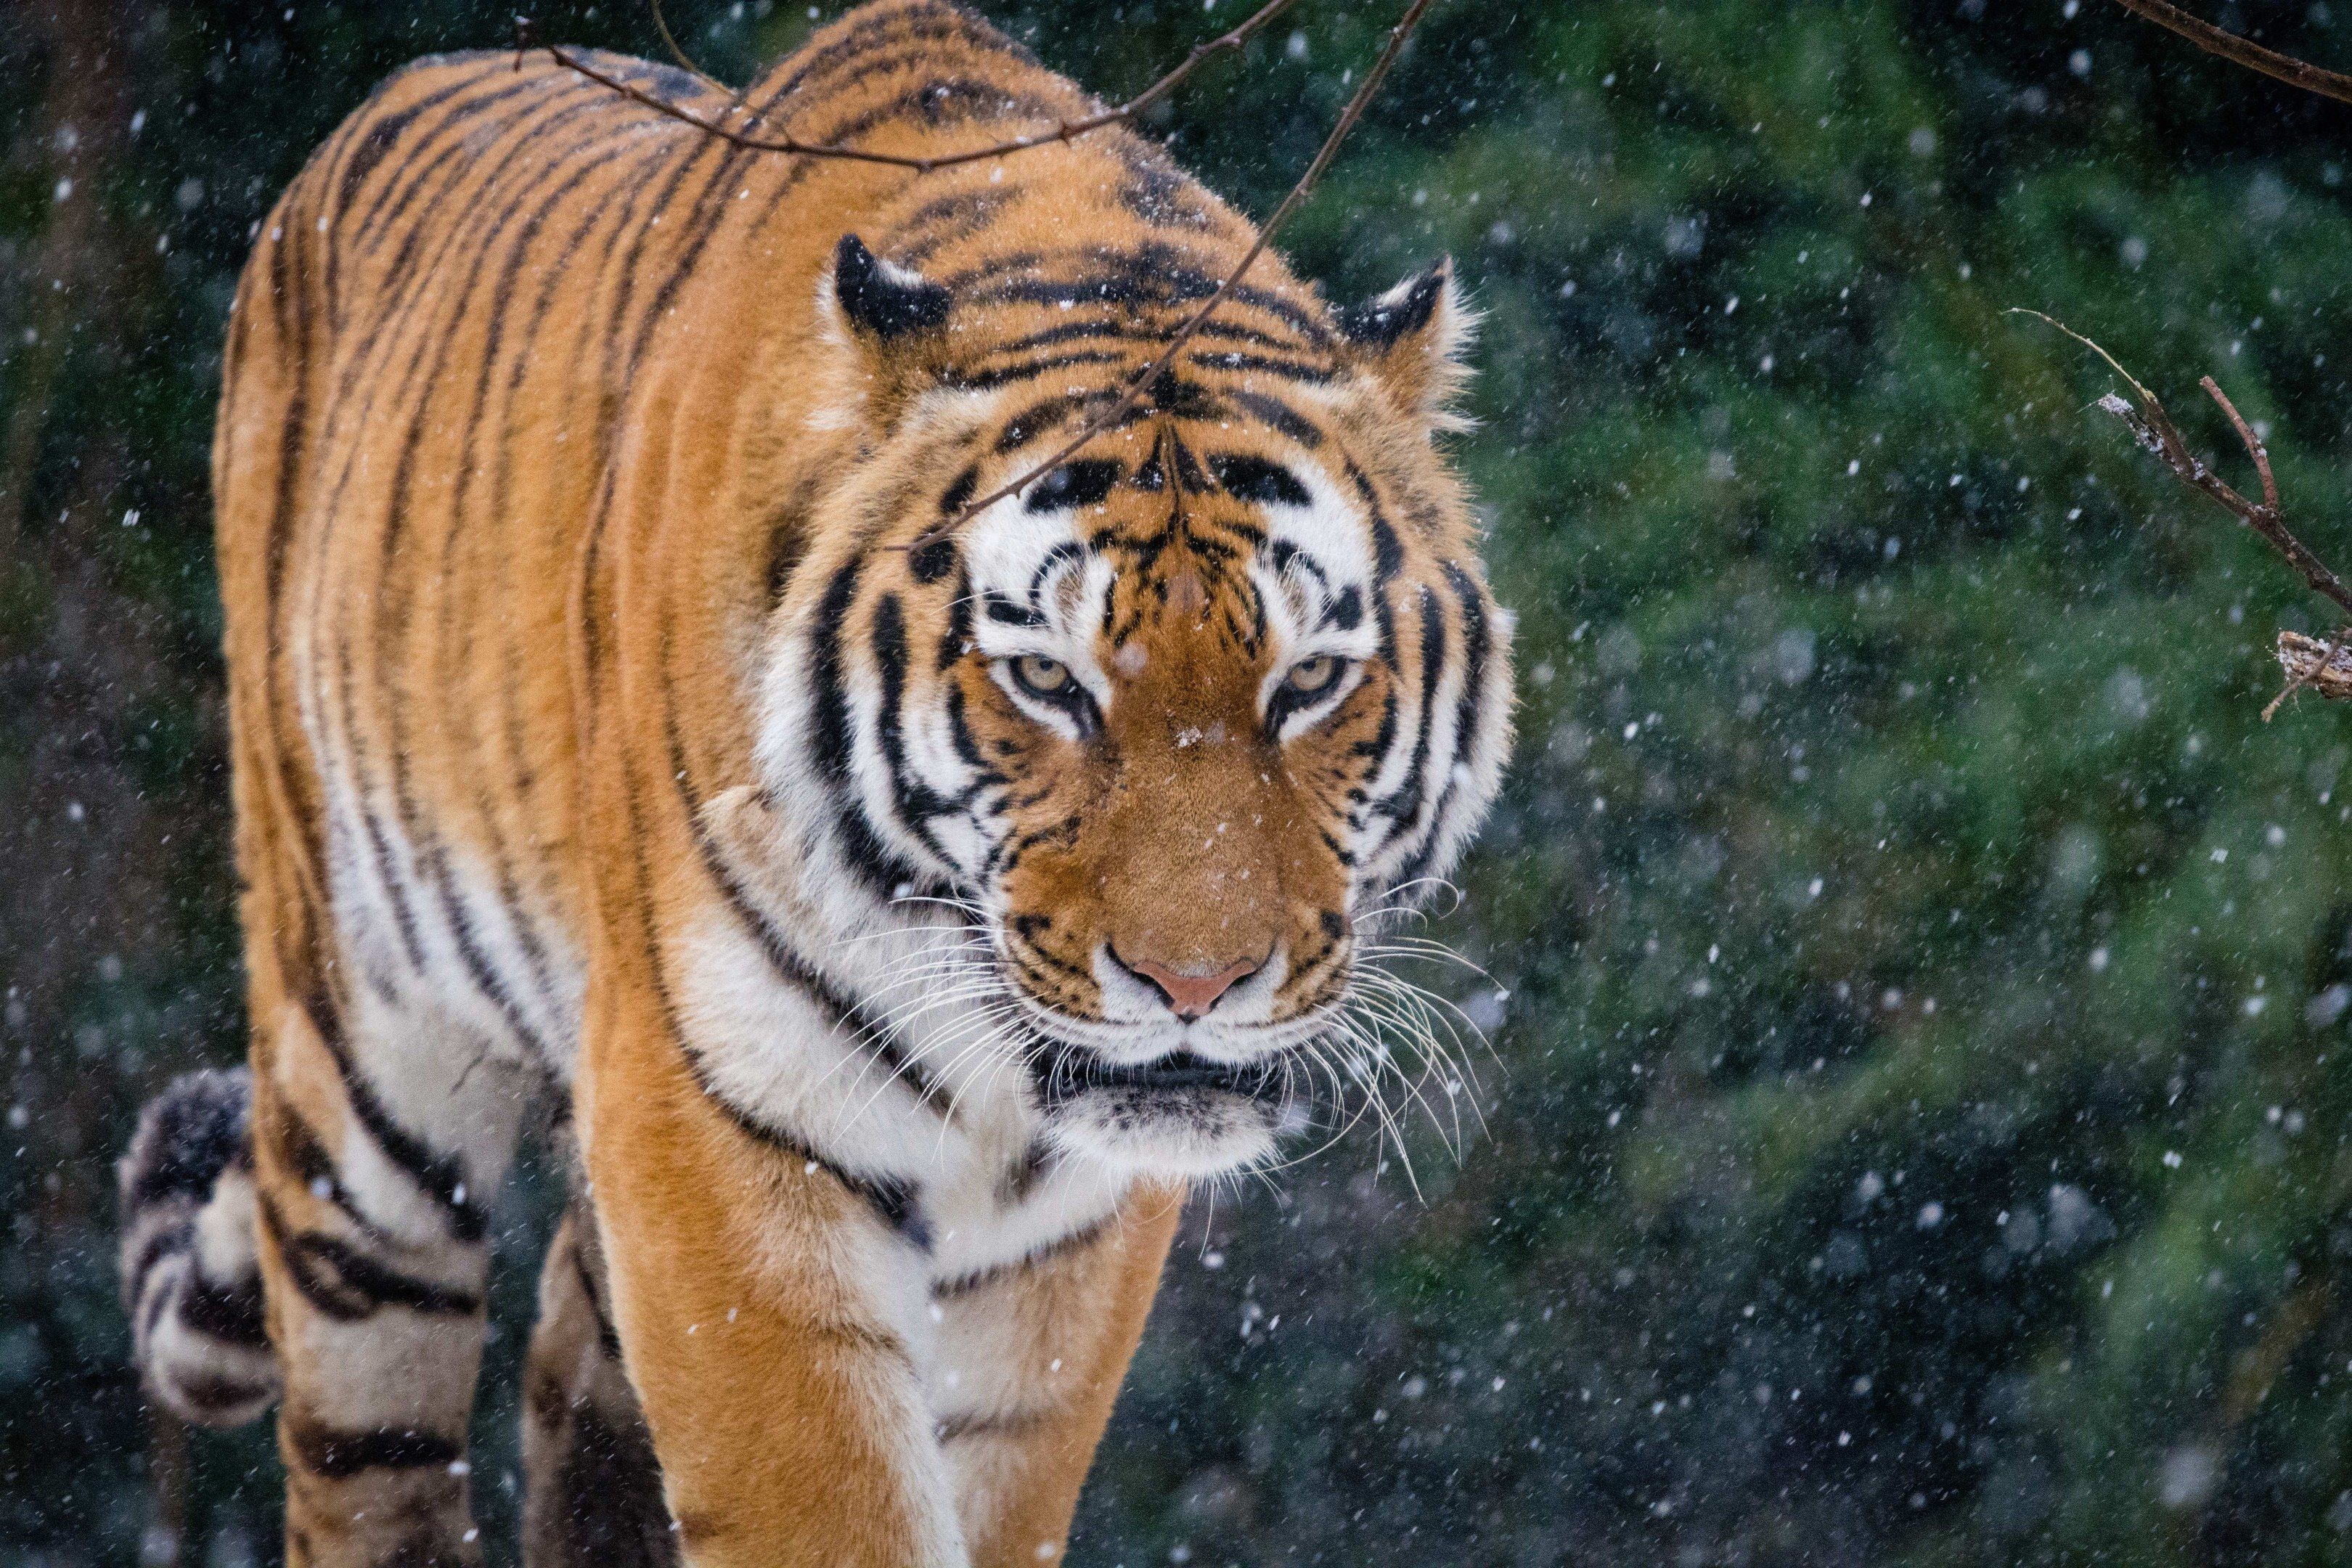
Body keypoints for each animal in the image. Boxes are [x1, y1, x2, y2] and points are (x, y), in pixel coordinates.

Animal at [113, 3, 1512, 1564]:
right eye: (1049, 683)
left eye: (1310, 680)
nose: (1199, 987)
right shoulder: (713, 1127)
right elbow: (825, 1496)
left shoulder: (1066, 1236)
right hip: (363, 1105)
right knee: (368, 1455)